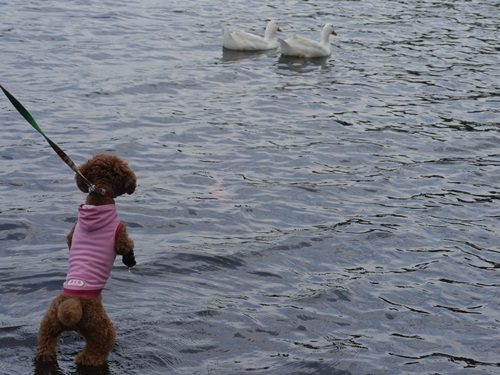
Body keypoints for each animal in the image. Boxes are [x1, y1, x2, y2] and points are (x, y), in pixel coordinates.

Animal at [35, 153, 138, 368]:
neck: (98, 199)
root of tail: (73, 303)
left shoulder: (72, 233)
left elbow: (69, 239)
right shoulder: (120, 235)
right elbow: (127, 246)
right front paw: (130, 259)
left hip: (50, 323)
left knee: (45, 343)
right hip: (101, 330)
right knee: (93, 354)